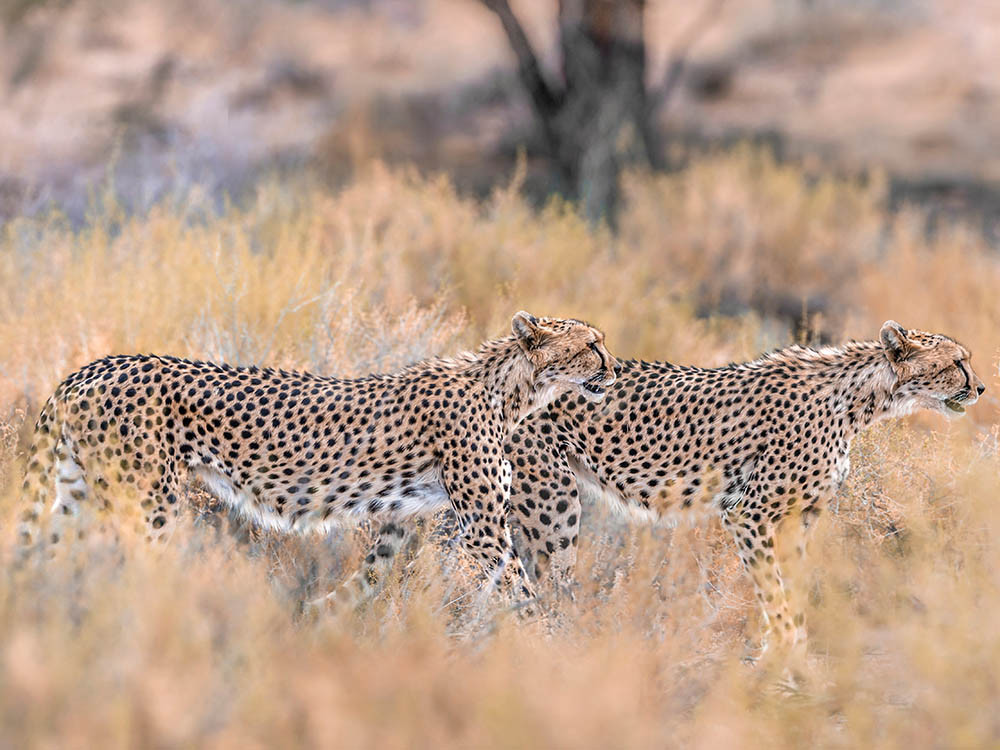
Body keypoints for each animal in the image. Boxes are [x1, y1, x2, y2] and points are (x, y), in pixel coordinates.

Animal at [17, 312, 616, 600]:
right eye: (591, 345)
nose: (612, 368)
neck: (511, 390)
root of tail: (91, 367)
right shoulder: (484, 527)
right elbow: (521, 590)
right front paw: (551, 651)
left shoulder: (403, 518)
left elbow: (369, 580)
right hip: (147, 503)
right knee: (130, 566)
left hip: (78, 495)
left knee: (45, 556)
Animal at [360, 324, 984, 656]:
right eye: (957, 361)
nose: (980, 387)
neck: (862, 398)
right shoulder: (750, 513)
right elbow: (775, 593)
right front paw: (786, 658)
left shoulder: (800, 517)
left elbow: (794, 587)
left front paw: (789, 651)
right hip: (548, 499)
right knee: (523, 576)